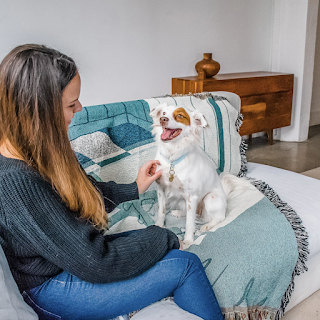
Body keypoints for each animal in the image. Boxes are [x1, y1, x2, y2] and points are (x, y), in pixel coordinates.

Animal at [151, 104, 248, 246]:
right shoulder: (161, 190)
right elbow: (161, 211)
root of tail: (225, 196)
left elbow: (189, 223)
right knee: (188, 212)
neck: (172, 159)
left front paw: (188, 241)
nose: (162, 119)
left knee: (219, 217)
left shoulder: (192, 196)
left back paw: (207, 225)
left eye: (179, 115)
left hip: (210, 198)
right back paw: (179, 212)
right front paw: (158, 226)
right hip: (183, 201)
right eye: (163, 113)